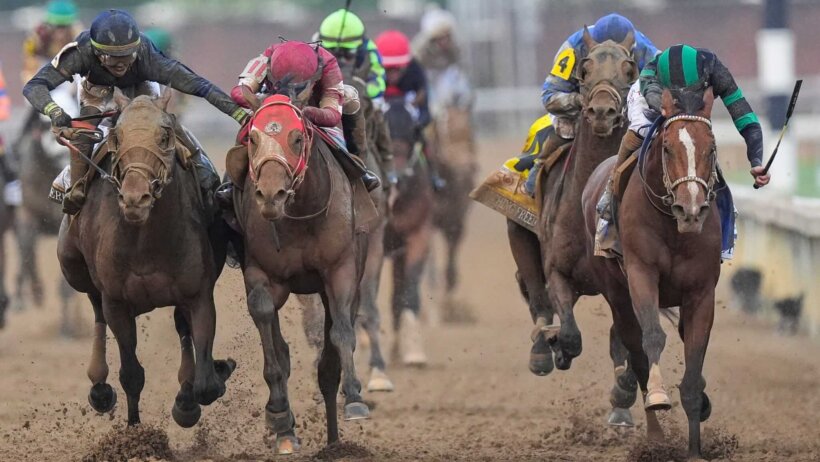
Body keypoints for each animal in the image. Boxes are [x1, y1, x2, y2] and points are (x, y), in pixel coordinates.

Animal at [55, 88, 234, 428]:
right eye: (117, 135)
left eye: (164, 135)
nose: (135, 198)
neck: (145, 242)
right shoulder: (117, 302)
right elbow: (131, 374)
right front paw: (135, 432)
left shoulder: (198, 294)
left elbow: (205, 383)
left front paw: (207, 381)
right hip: (74, 267)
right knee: (96, 309)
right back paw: (99, 388)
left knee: (181, 327)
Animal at [227, 91, 374, 454]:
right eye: (253, 138)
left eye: (297, 137)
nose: (270, 196)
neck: (302, 213)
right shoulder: (262, 273)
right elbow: (269, 329)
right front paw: (279, 414)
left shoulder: (340, 269)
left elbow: (341, 333)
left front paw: (355, 399)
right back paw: (288, 432)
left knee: (332, 351)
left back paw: (335, 443)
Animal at [584, 88, 716, 460]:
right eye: (667, 147)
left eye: (711, 148)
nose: (690, 209)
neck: (674, 228)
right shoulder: (641, 273)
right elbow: (652, 338)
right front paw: (659, 398)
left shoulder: (701, 292)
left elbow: (695, 357)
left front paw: (695, 449)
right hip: (617, 294)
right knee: (637, 352)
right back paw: (654, 436)